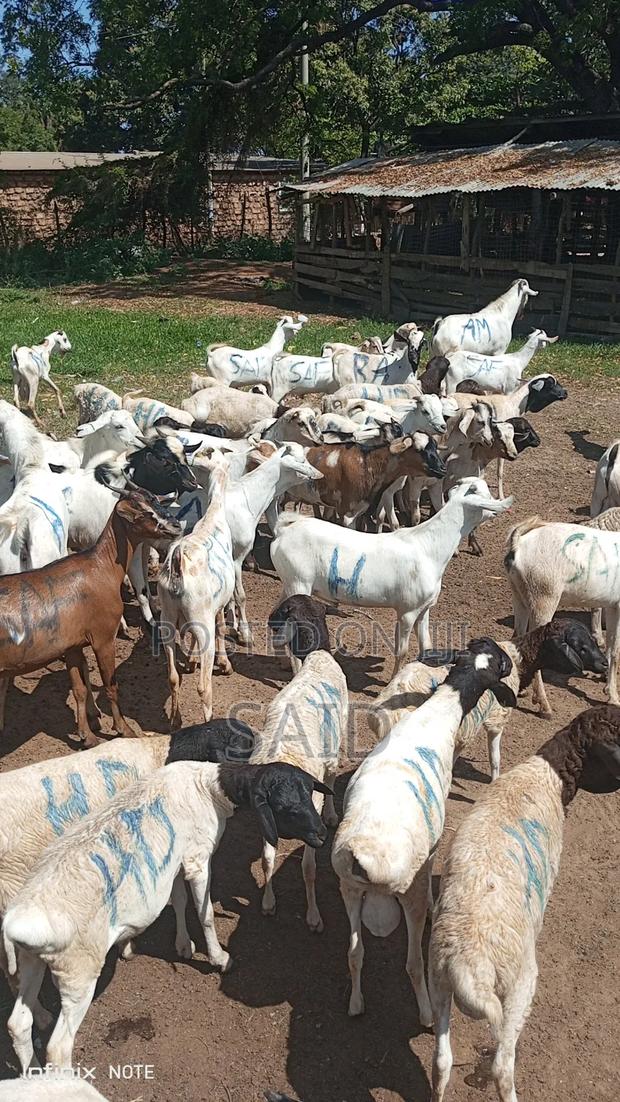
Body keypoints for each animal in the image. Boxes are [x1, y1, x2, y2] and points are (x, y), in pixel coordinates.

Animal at [4, 760, 333, 1072]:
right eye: (285, 808)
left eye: (309, 792)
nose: (321, 835)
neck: (209, 788)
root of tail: (16, 924)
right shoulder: (198, 860)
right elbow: (206, 913)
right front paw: (220, 959)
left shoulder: (176, 861)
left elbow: (179, 900)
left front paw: (184, 946)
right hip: (78, 974)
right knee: (58, 1048)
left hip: (32, 961)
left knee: (18, 1025)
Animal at [272, 478, 513, 675]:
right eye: (485, 496)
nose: (496, 511)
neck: (429, 546)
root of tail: (284, 530)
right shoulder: (407, 610)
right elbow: (402, 651)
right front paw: (393, 679)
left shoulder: (424, 608)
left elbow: (426, 645)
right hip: (299, 583)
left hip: (290, 583)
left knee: (276, 615)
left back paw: (281, 662)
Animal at [331, 639, 515, 1020]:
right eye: (501, 665)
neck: (437, 714)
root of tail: (366, 857)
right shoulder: (431, 849)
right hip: (408, 894)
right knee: (414, 963)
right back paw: (427, 1012)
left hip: (348, 888)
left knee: (355, 953)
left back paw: (356, 1004)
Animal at [429, 703, 620, 1102]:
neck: (547, 775)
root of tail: (468, 963)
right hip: (517, 987)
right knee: (502, 1067)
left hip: (437, 980)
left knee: (441, 1062)